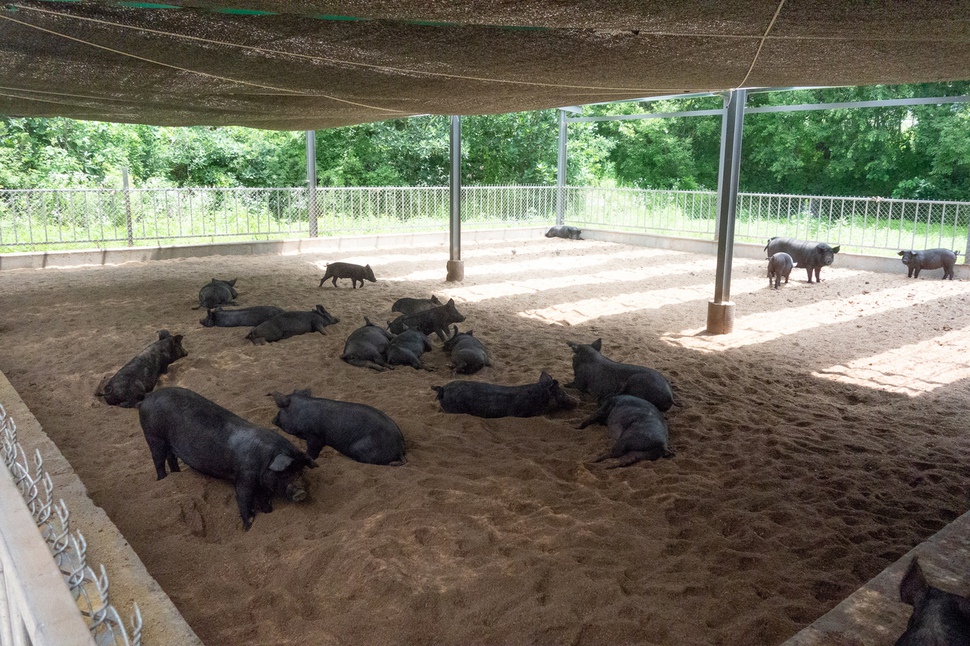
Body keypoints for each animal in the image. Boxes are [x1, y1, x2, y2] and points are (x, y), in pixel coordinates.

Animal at [136, 390, 316, 532]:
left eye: (300, 471)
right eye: (286, 473)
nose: (302, 493)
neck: (266, 459)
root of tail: (146, 399)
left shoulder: (262, 483)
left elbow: (265, 500)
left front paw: (268, 513)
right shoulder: (245, 476)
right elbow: (243, 499)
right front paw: (248, 528)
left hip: (168, 442)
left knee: (171, 457)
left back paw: (176, 474)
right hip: (153, 436)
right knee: (158, 460)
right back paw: (163, 479)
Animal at [268, 390, 404, 466]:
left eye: (281, 409)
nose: (272, 420)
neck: (300, 412)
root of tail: (400, 449)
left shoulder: (315, 436)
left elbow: (312, 452)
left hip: (359, 447)